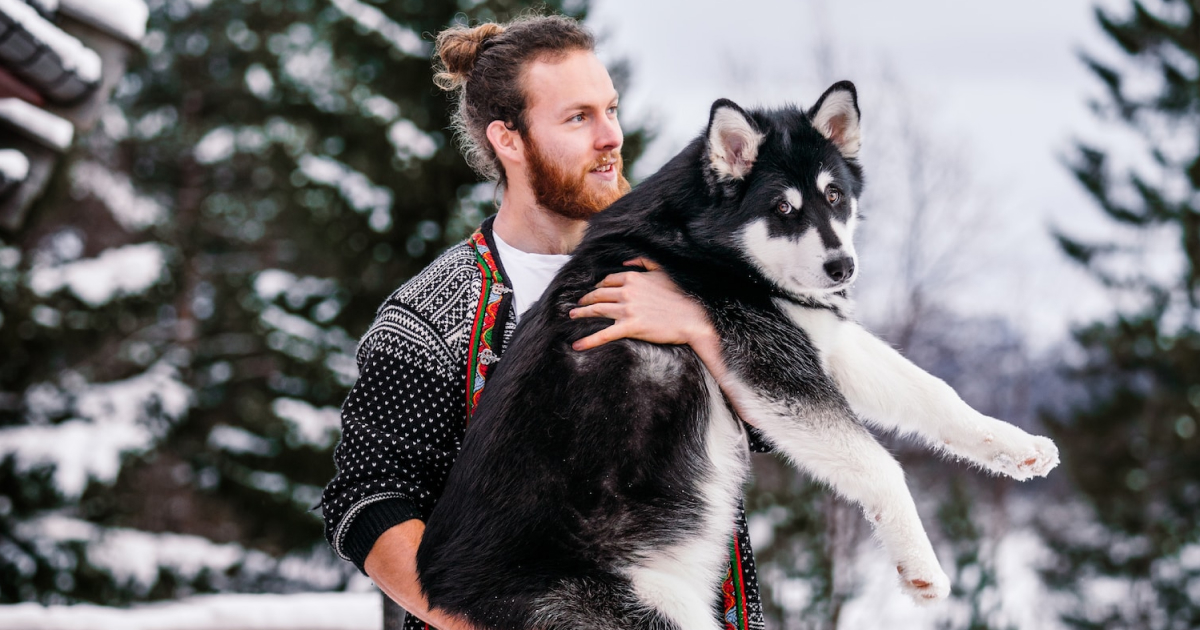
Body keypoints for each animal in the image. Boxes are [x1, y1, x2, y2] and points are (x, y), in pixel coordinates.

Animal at [420, 82, 1060, 628]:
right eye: (783, 209)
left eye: (835, 197)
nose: (842, 267)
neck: (702, 240)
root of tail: (449, 589)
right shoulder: (770, 367)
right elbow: (883, 467)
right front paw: (922, 567)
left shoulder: (819, 337)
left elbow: (937, 395)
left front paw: (1015, 445)